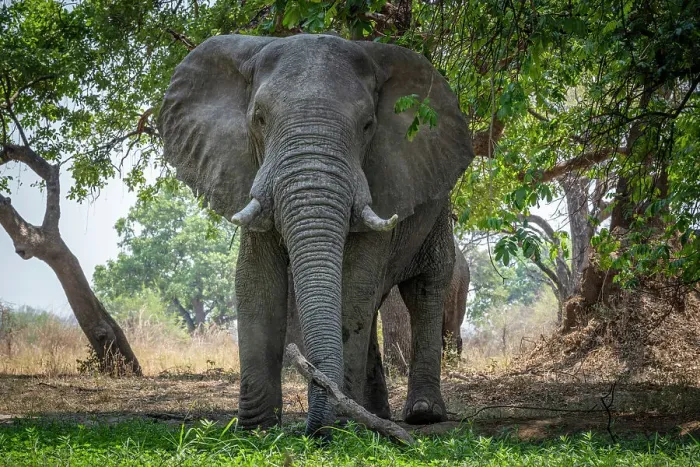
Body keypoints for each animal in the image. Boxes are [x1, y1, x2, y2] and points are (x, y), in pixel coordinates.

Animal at [159, 33, 474, 436]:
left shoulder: (383, 177)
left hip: (437, 212)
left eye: (368, 125)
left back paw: (421, 413)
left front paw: (339, 426)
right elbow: (256, 283)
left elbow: (352, 283)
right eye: (259, 119)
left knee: (424, 290)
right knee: (375, 304)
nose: (312, 431)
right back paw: (376, 415)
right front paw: (256, 430)